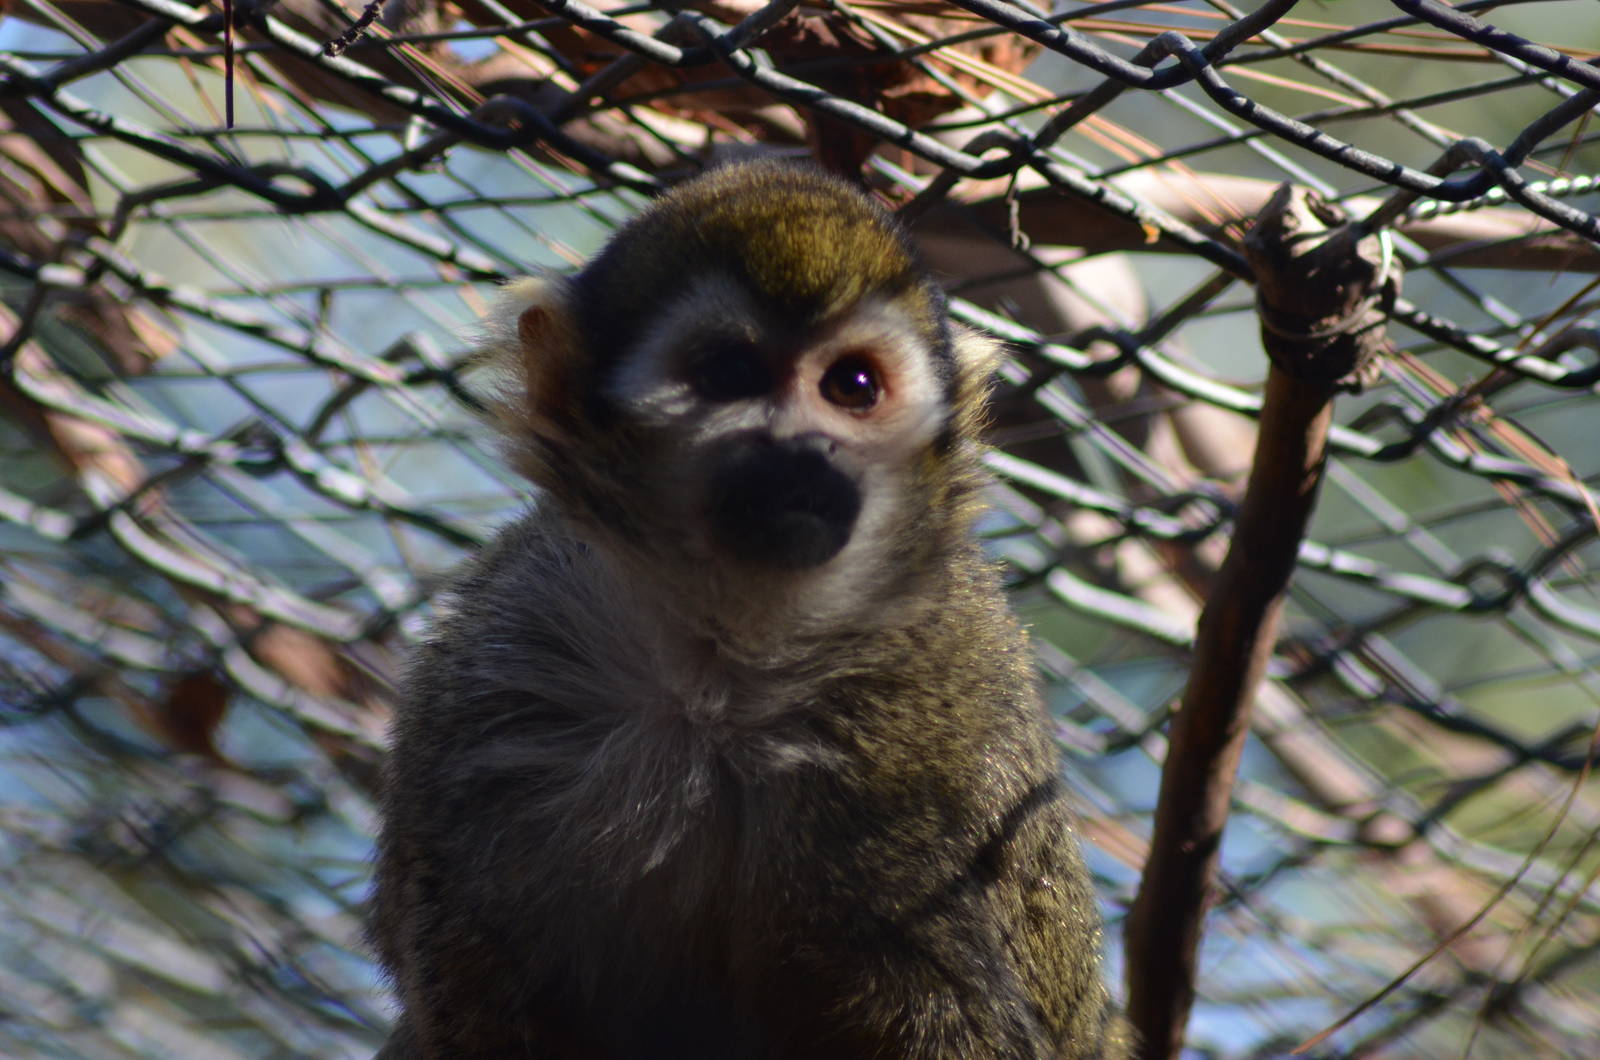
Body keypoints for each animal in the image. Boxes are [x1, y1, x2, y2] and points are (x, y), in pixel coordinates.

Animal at [370, 159, 1129, 1059]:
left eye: (853, 387)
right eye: (729, 374)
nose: (801, 449)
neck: (724, 663)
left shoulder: (935, 724)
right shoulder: (495, 661)